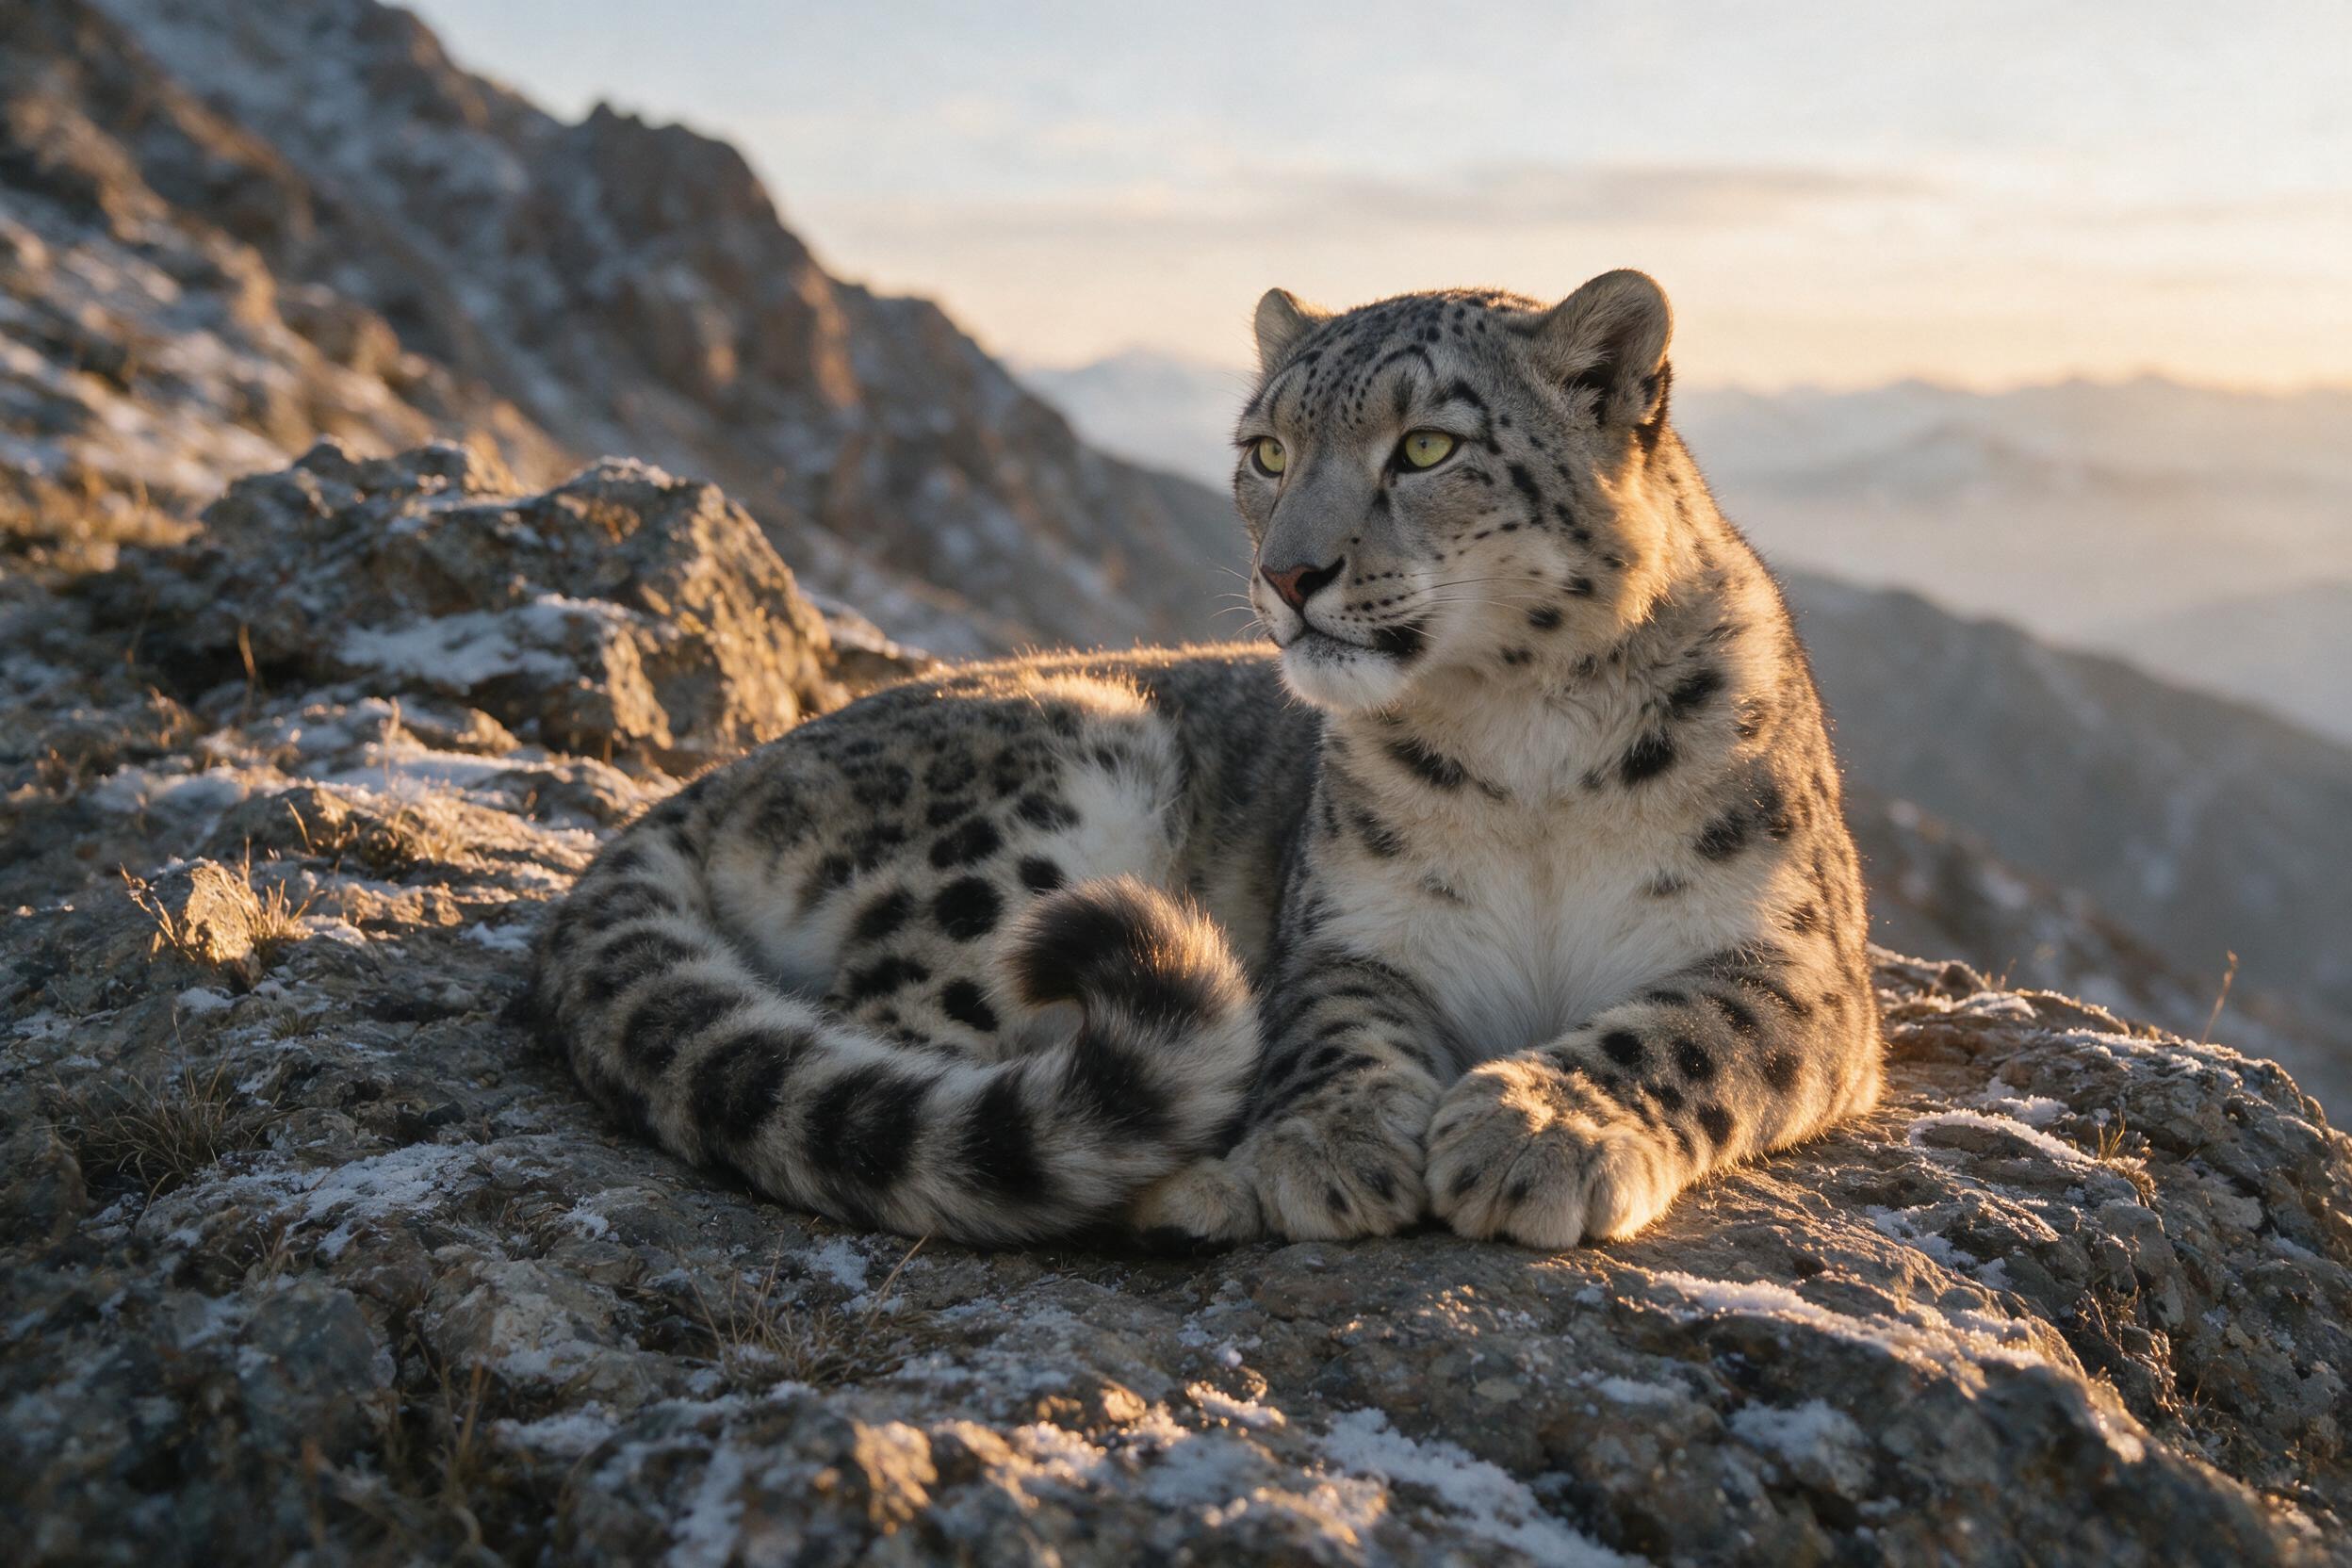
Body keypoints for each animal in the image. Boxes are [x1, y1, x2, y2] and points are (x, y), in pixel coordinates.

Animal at [524, 269, 1883, 1250]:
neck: (1525, 737)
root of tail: (719, 775)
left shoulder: (1796, 951)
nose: (1291, 574)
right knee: (918, 1062)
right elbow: (1339, 1030)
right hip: (1042, 807)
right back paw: (1191, 1185)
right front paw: (1329, 1151)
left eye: (1428, 448)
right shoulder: (1354, 931)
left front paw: (1537, 1132)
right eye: (1266, 451)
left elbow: (1683, 1027)